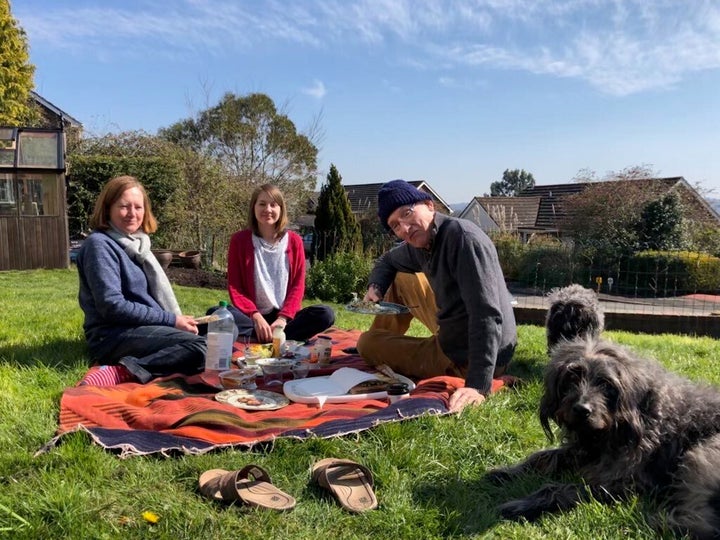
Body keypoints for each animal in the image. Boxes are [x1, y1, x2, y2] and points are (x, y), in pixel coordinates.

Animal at [486, 340, 720, 536]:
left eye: (606, 384)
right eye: (572, 377)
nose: (582, 410)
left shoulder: (627, 483)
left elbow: (563, 489)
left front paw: (523, 504)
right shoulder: (584, 450)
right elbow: (544, 456)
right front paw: (507, 471)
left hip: (702, 453)